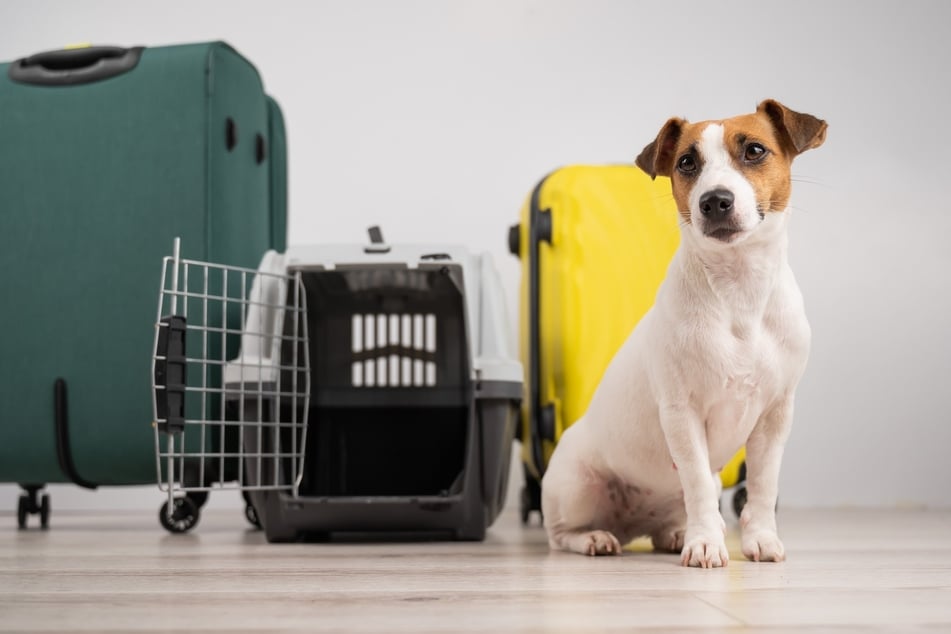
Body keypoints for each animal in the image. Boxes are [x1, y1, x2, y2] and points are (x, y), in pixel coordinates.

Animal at [544, 100, 824, 568]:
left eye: (754, 150)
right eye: (686, 163)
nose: (715, 201)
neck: (738, 291)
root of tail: (632, 524)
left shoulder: (775, 416)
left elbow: (762, 487)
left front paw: (761, 539)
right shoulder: (682, 413)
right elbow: (697, 484)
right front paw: (706, 542)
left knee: (670, 520)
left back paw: (675, 533)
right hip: (575, 485)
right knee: (560, 534)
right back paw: (595, 538)